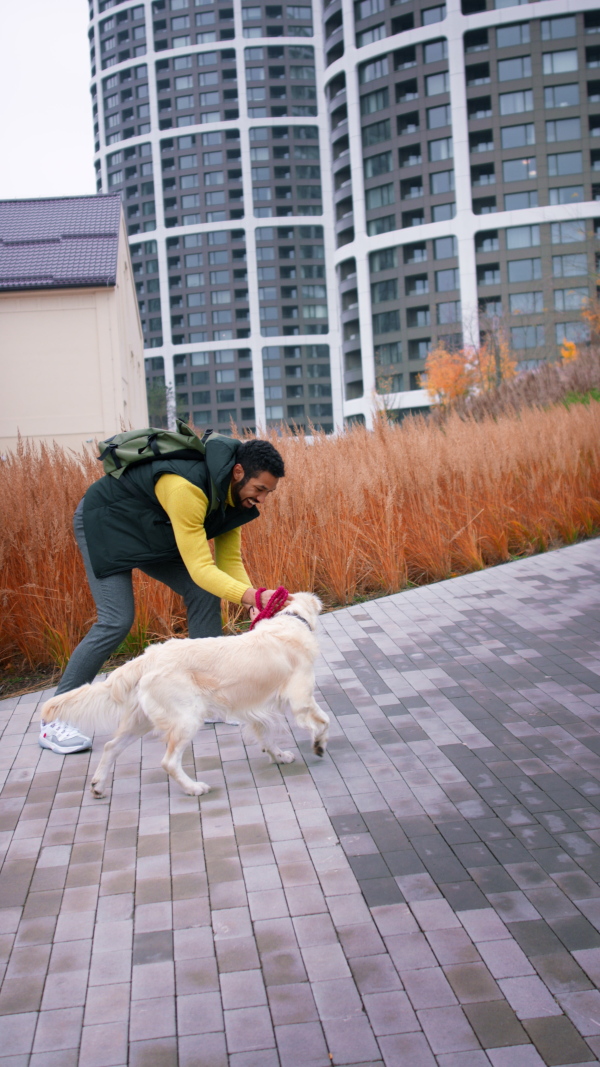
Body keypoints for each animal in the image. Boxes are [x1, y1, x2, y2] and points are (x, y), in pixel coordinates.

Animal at [38, 593, 326, 802]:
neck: (291, 620)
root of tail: (147, 657)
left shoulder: (255, 708)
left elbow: (267, 737)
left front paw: (279, 756)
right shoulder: (300, 699)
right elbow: (324, 721)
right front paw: (318, 745)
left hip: (141, 721)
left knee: (110, 747)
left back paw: (98, 786)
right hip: (186, 719)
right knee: (168, 762)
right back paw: (193, 788)